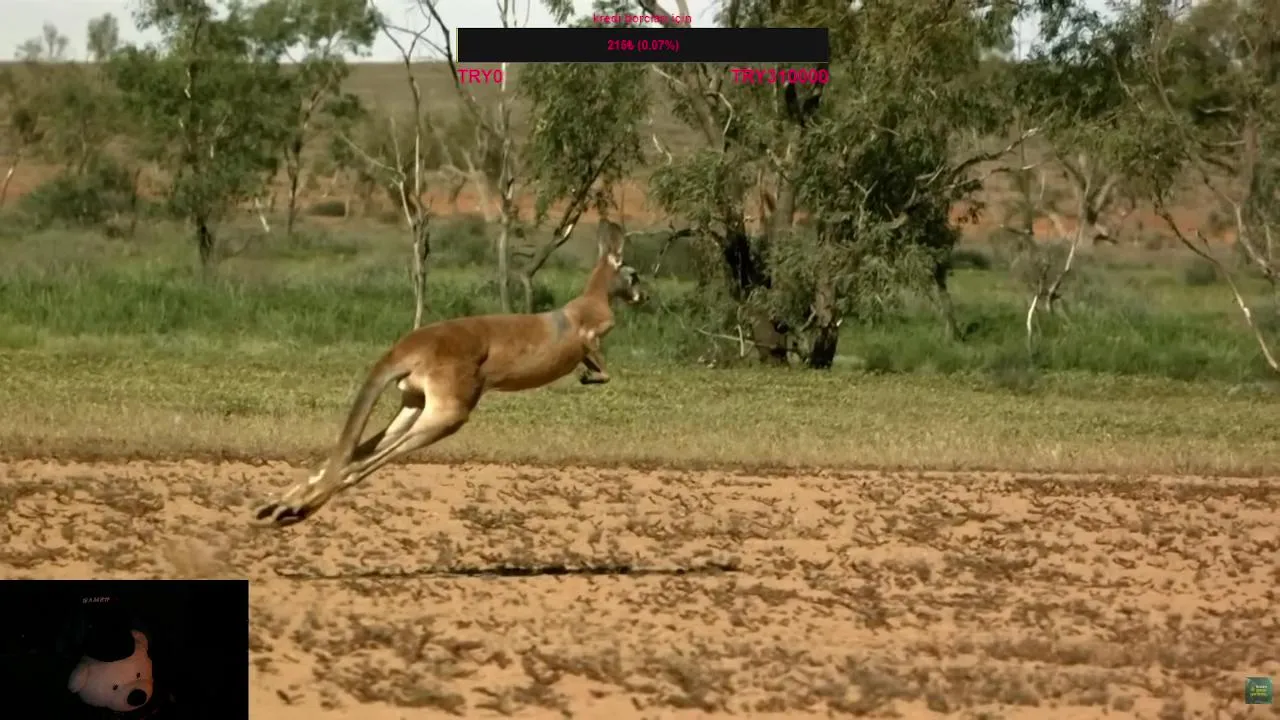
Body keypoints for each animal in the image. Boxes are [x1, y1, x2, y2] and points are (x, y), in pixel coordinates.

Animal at [251, 221, 646, 528]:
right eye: (634, 275)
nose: (644, 297)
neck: (594, 297)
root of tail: (409, 347)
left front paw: (586, 377)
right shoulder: (591, 335)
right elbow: (600, 362)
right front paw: (589, 377)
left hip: (414, 401)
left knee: (354, 452)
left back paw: (279, 505)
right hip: (449, 407)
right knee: (364, 462)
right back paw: (295, 510)